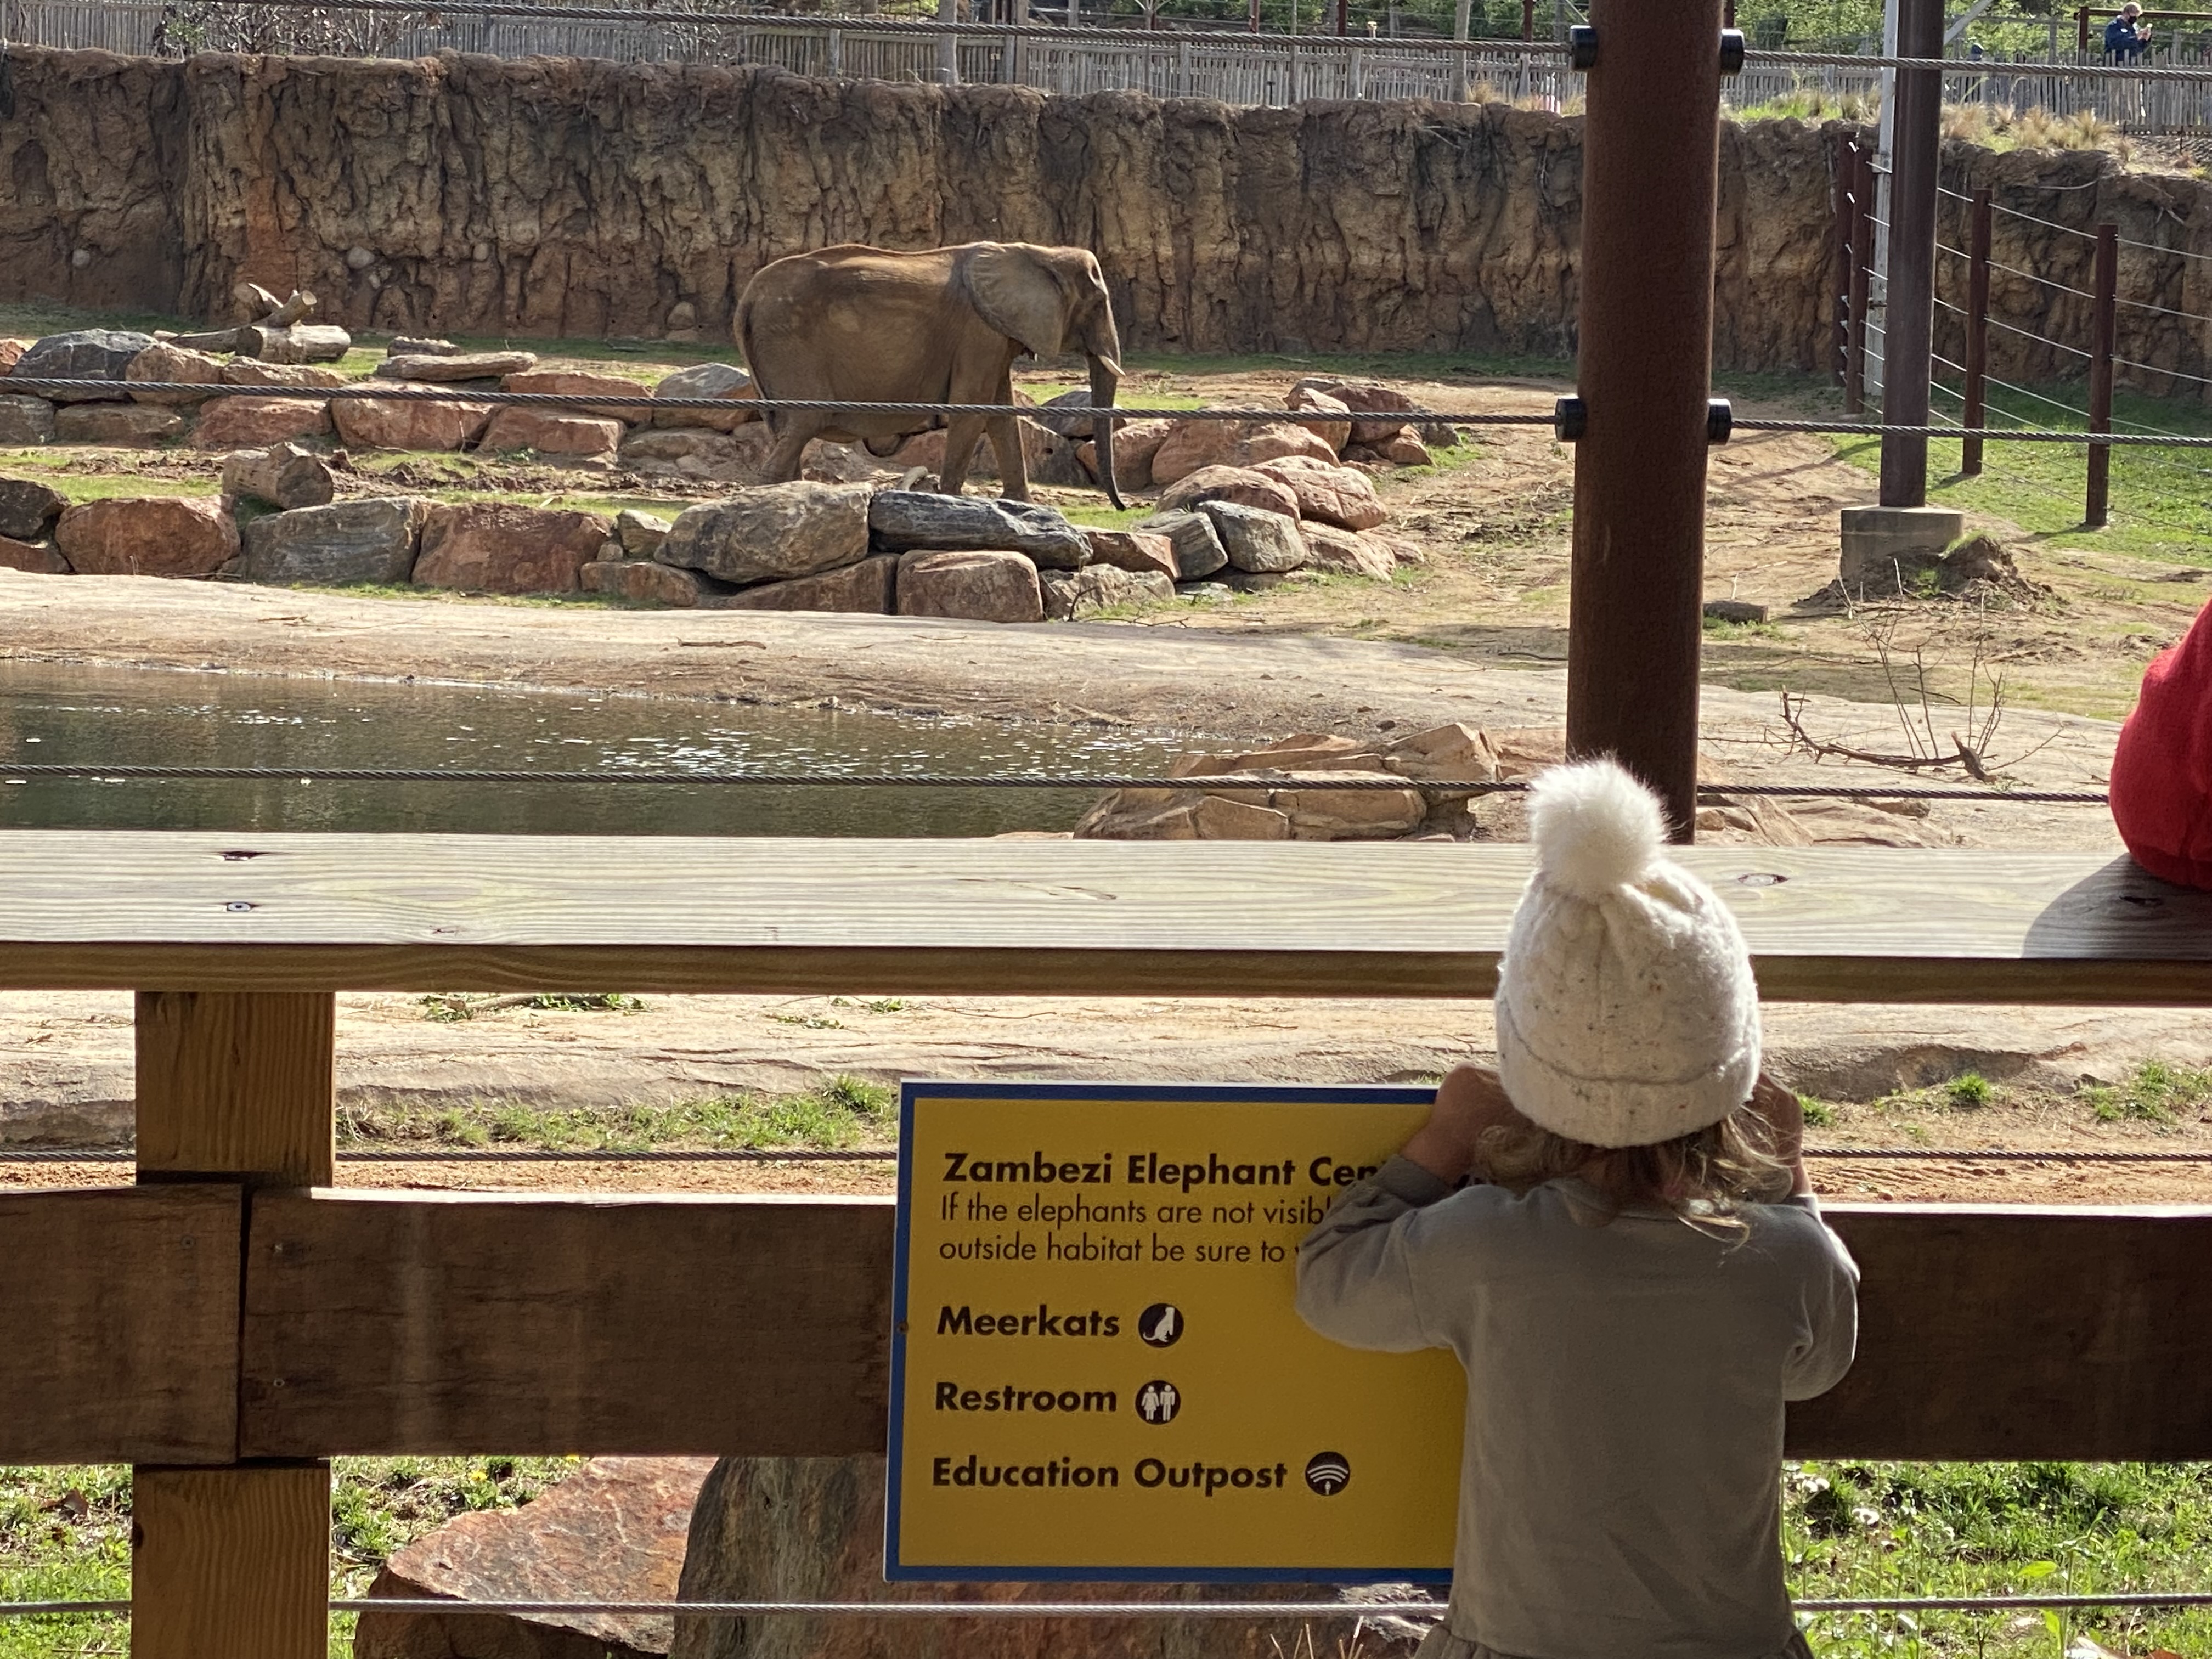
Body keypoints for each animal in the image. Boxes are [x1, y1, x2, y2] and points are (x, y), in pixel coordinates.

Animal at [738, 243, 1124, 511]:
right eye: (1098, 303)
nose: (1121, 507)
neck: (1040, 252)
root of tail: (747, 297)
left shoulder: (995, 334)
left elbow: (1001, 414)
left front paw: (1021, 506)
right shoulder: (979, 332)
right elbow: (973, 409)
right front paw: (951, 502)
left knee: (788, 432)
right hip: (790, 344)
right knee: (805, 423)